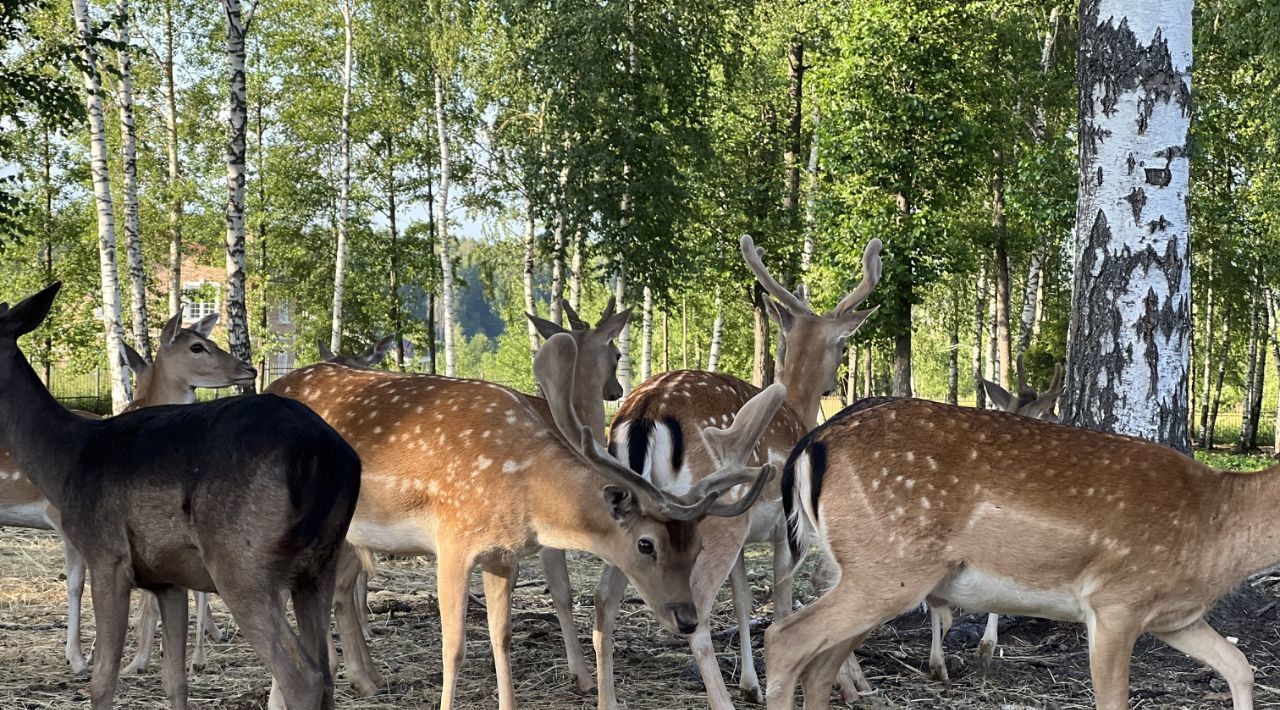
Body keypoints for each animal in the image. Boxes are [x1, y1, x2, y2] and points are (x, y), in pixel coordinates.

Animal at [0, 284, 360, 710]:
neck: (66, 461)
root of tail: (328, 456)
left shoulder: (107, 554)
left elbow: (103, 679)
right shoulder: (167, 578)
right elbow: (174, 680)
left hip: (242, 564)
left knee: (303, 675)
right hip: (319, 566)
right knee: (326, 674)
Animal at [591, 235, 880, 710]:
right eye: (841, 345)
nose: (834, 384)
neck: (796, 408)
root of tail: (645, 413)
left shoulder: (746, 537)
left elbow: (744, 599)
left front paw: (752, 684)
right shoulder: (786, 529)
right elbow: (783, 603)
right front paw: (843, 682)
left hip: (638, 519)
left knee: (603, 599)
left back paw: (608, 700)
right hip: (710, 516)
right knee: (698, 613)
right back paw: (720, 701)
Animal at [762, 399, 1264, 710]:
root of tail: (811, 443)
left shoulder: (1174, 619)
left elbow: (1240, 665)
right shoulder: (1115, 602)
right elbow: (1113, 699)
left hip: (875, 573)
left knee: (818, 664)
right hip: (889, 568)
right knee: (786, 638)